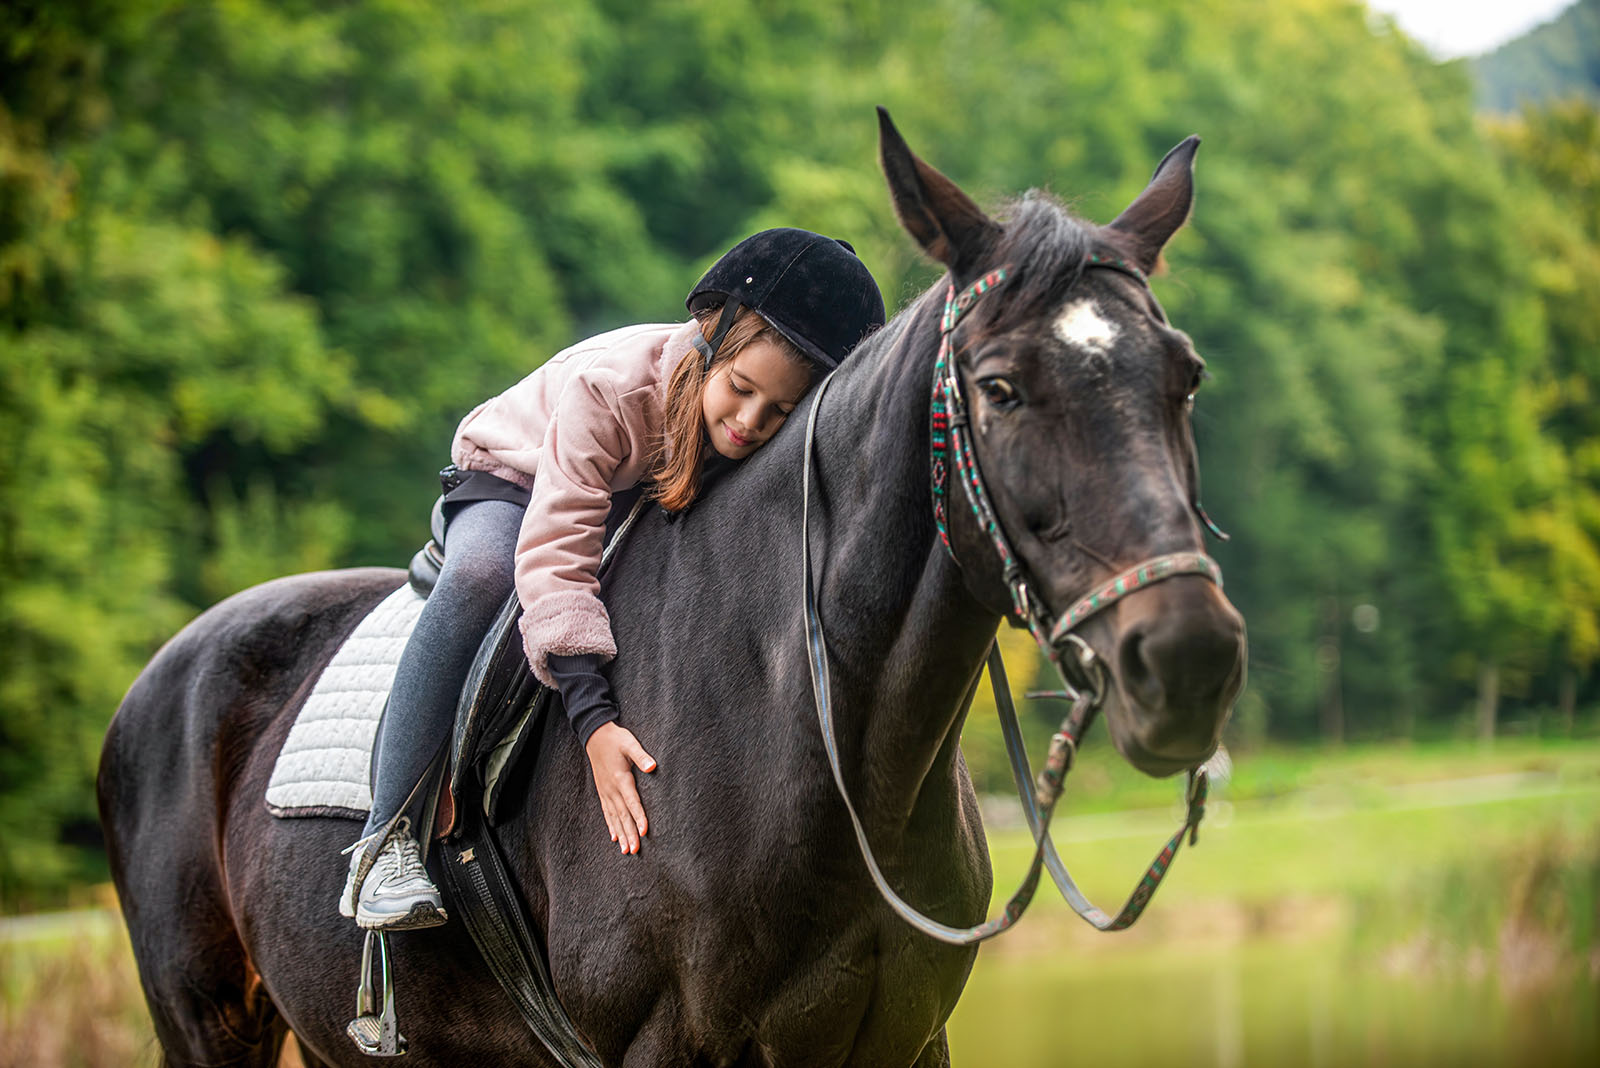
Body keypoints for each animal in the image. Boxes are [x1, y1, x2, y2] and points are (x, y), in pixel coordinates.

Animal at [100, 110, 1241, 1068]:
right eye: (999, 388)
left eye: (1183, 377)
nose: (1187, 659)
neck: (802, 736)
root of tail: (168, 670)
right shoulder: (664, 1047)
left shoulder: (907, 1041)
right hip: (208, 1024)